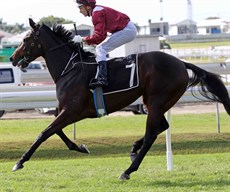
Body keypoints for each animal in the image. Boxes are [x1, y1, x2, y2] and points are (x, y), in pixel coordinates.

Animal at [9, 18, 230, 181]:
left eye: (26, 38)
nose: (12, 58)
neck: (69, 69)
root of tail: (181, 63)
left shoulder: (72, 111)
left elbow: (44, 132)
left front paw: (19, 162)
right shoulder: (65, 111)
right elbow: (57, 132)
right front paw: (81, 147)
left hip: (157, 101)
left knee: (151, 134)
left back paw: (128, 170)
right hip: (154, 101)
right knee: (162, 127)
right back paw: (133, 149)